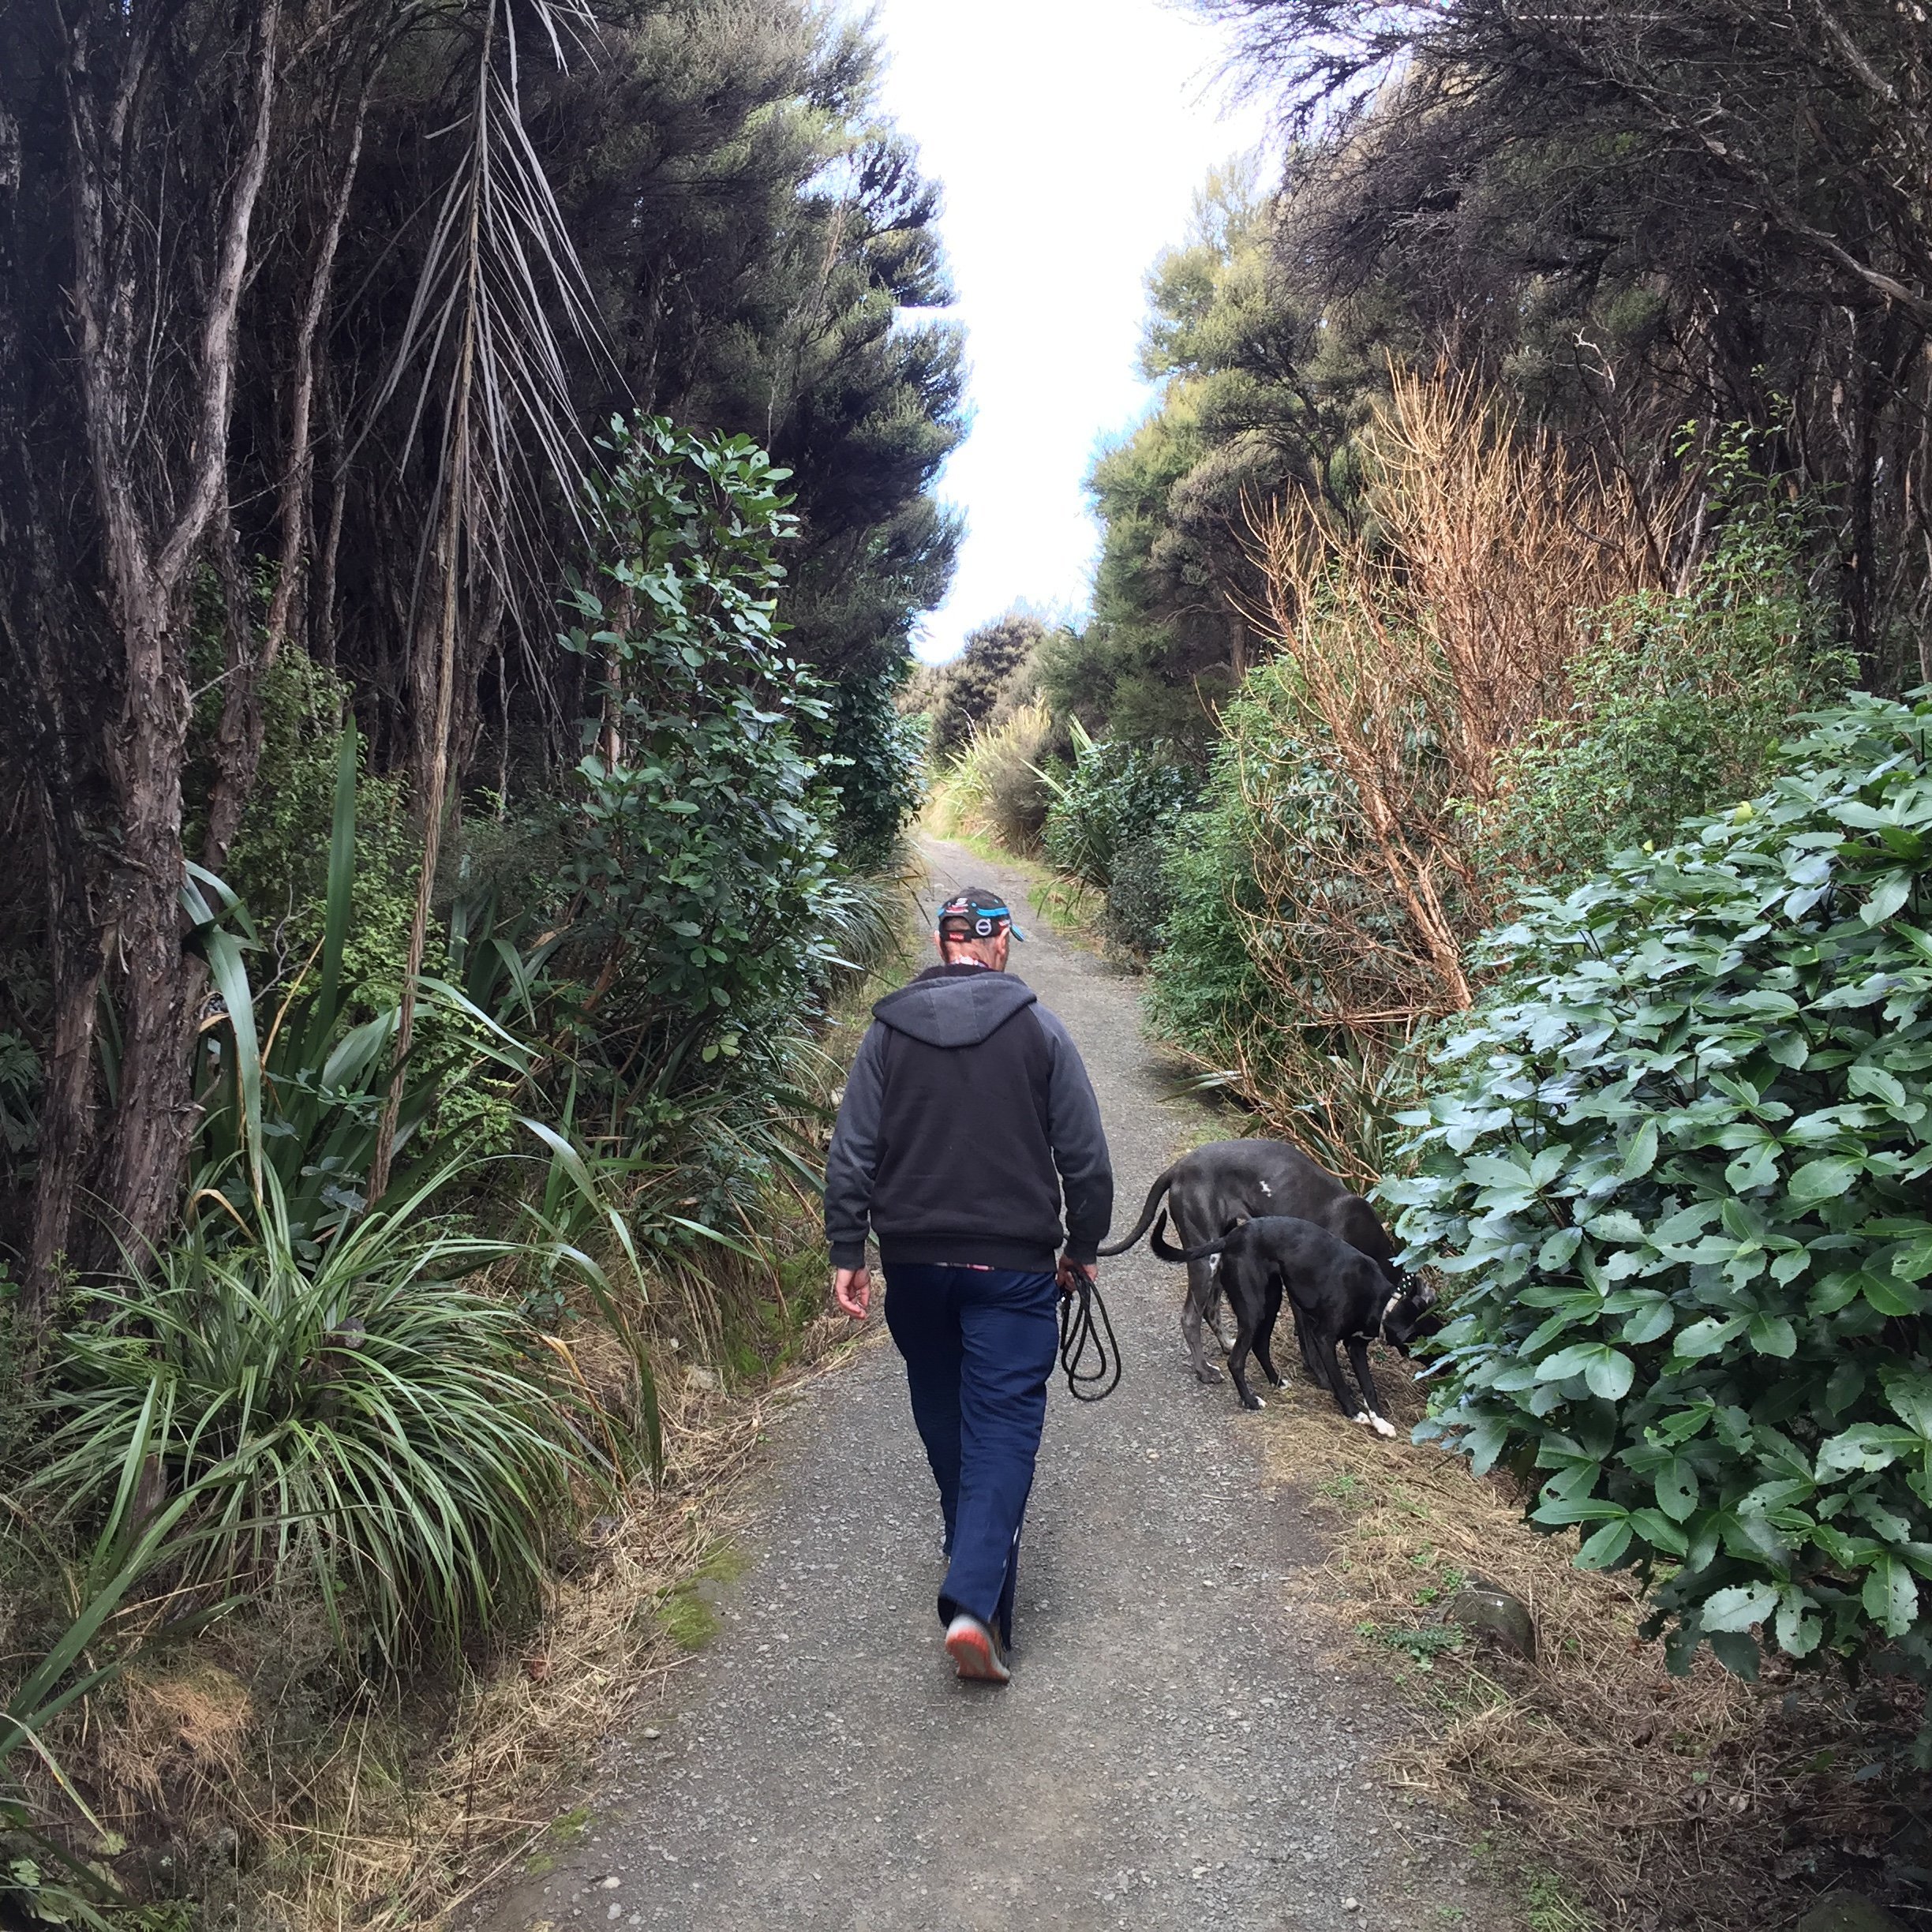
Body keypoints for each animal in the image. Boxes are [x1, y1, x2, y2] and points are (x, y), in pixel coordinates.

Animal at [1105, 1136, 1406, 1383]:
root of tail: (1179, 1167)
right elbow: (1310, 1342)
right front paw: (1322, 1376)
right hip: (1206, 1257)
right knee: (1191, 1318)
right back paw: (1204, 1371)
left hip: (1219, 1250)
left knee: (1211, 1309)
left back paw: (1227, 1344)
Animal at [1144, 1213, 1437, 1429]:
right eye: (1430, 1345)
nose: (1445, 1368)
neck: (1382, 1301)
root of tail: (1230, 1238)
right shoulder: (1324, 1338)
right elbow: (1339, 1382)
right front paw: (1354, 1413)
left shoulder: (1356, 1347)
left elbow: (1369, 1387)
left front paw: (1380, 1422)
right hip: (1253, 1311)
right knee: (1236, 1360)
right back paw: (1250, 1400)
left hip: (1270, 1301)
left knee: (1261, 1346)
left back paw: (1276, 1381)